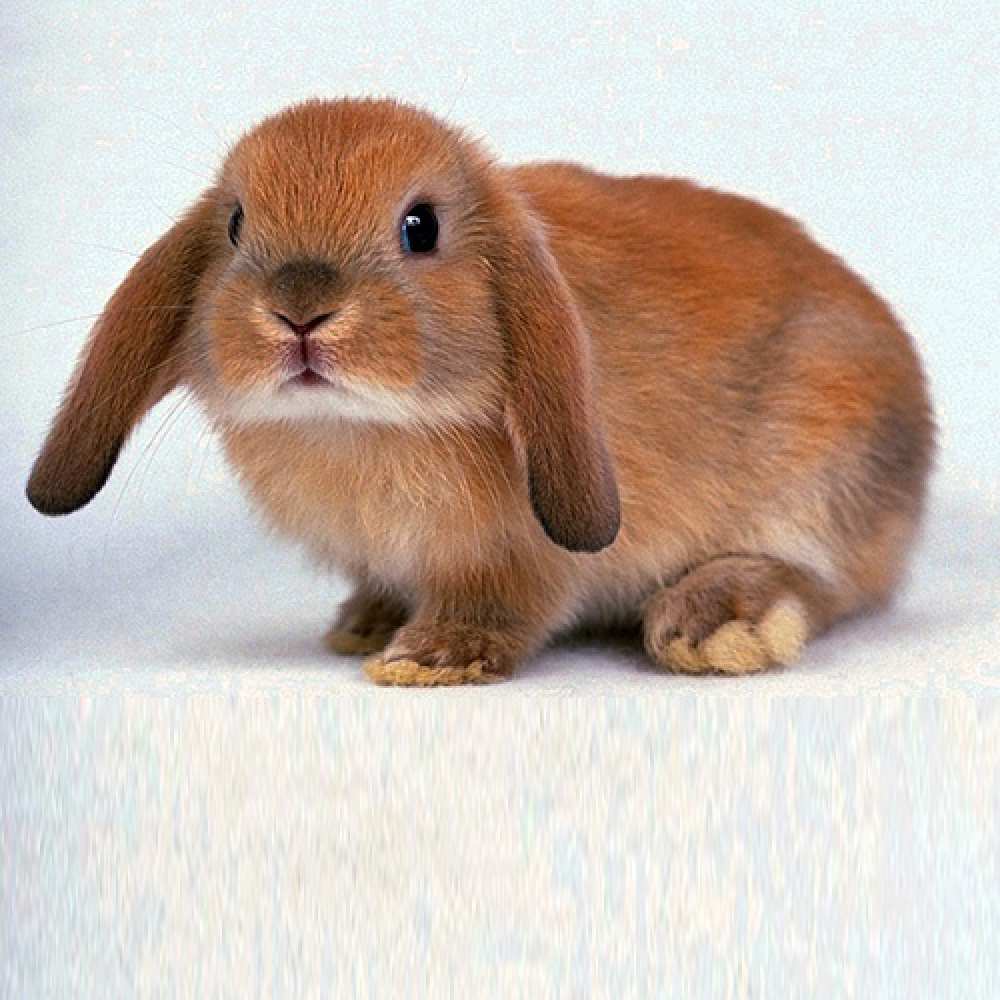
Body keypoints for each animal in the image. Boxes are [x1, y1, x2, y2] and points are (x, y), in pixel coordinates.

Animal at [26, 97, 934, 685]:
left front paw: (428, 659)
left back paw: (714, 624)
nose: (300, 311)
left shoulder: (518, 557)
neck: (360, 427)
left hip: (822, 471)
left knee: (824, 582)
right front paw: (367, 626)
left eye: (420, 227)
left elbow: (506, 604)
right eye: (237, 224)